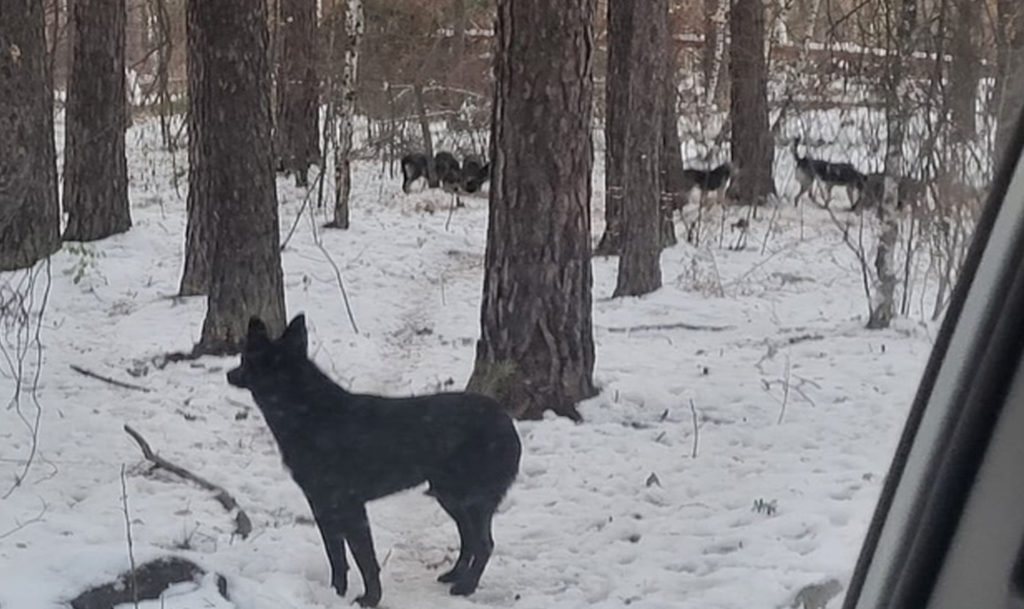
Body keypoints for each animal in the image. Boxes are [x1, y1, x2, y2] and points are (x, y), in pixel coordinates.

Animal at [229, 317, 524, 605]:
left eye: (244, 358)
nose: (228, 373)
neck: (307, 412)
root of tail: (506, 421)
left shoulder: (350, 506)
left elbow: (364, 559)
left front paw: (370, 599)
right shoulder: (322, 505)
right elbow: (336, 556)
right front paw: (335, 593)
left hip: (471, 498)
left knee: (484, 544)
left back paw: (466, 586)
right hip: (449, 495)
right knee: (470, 539)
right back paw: (454, 575)